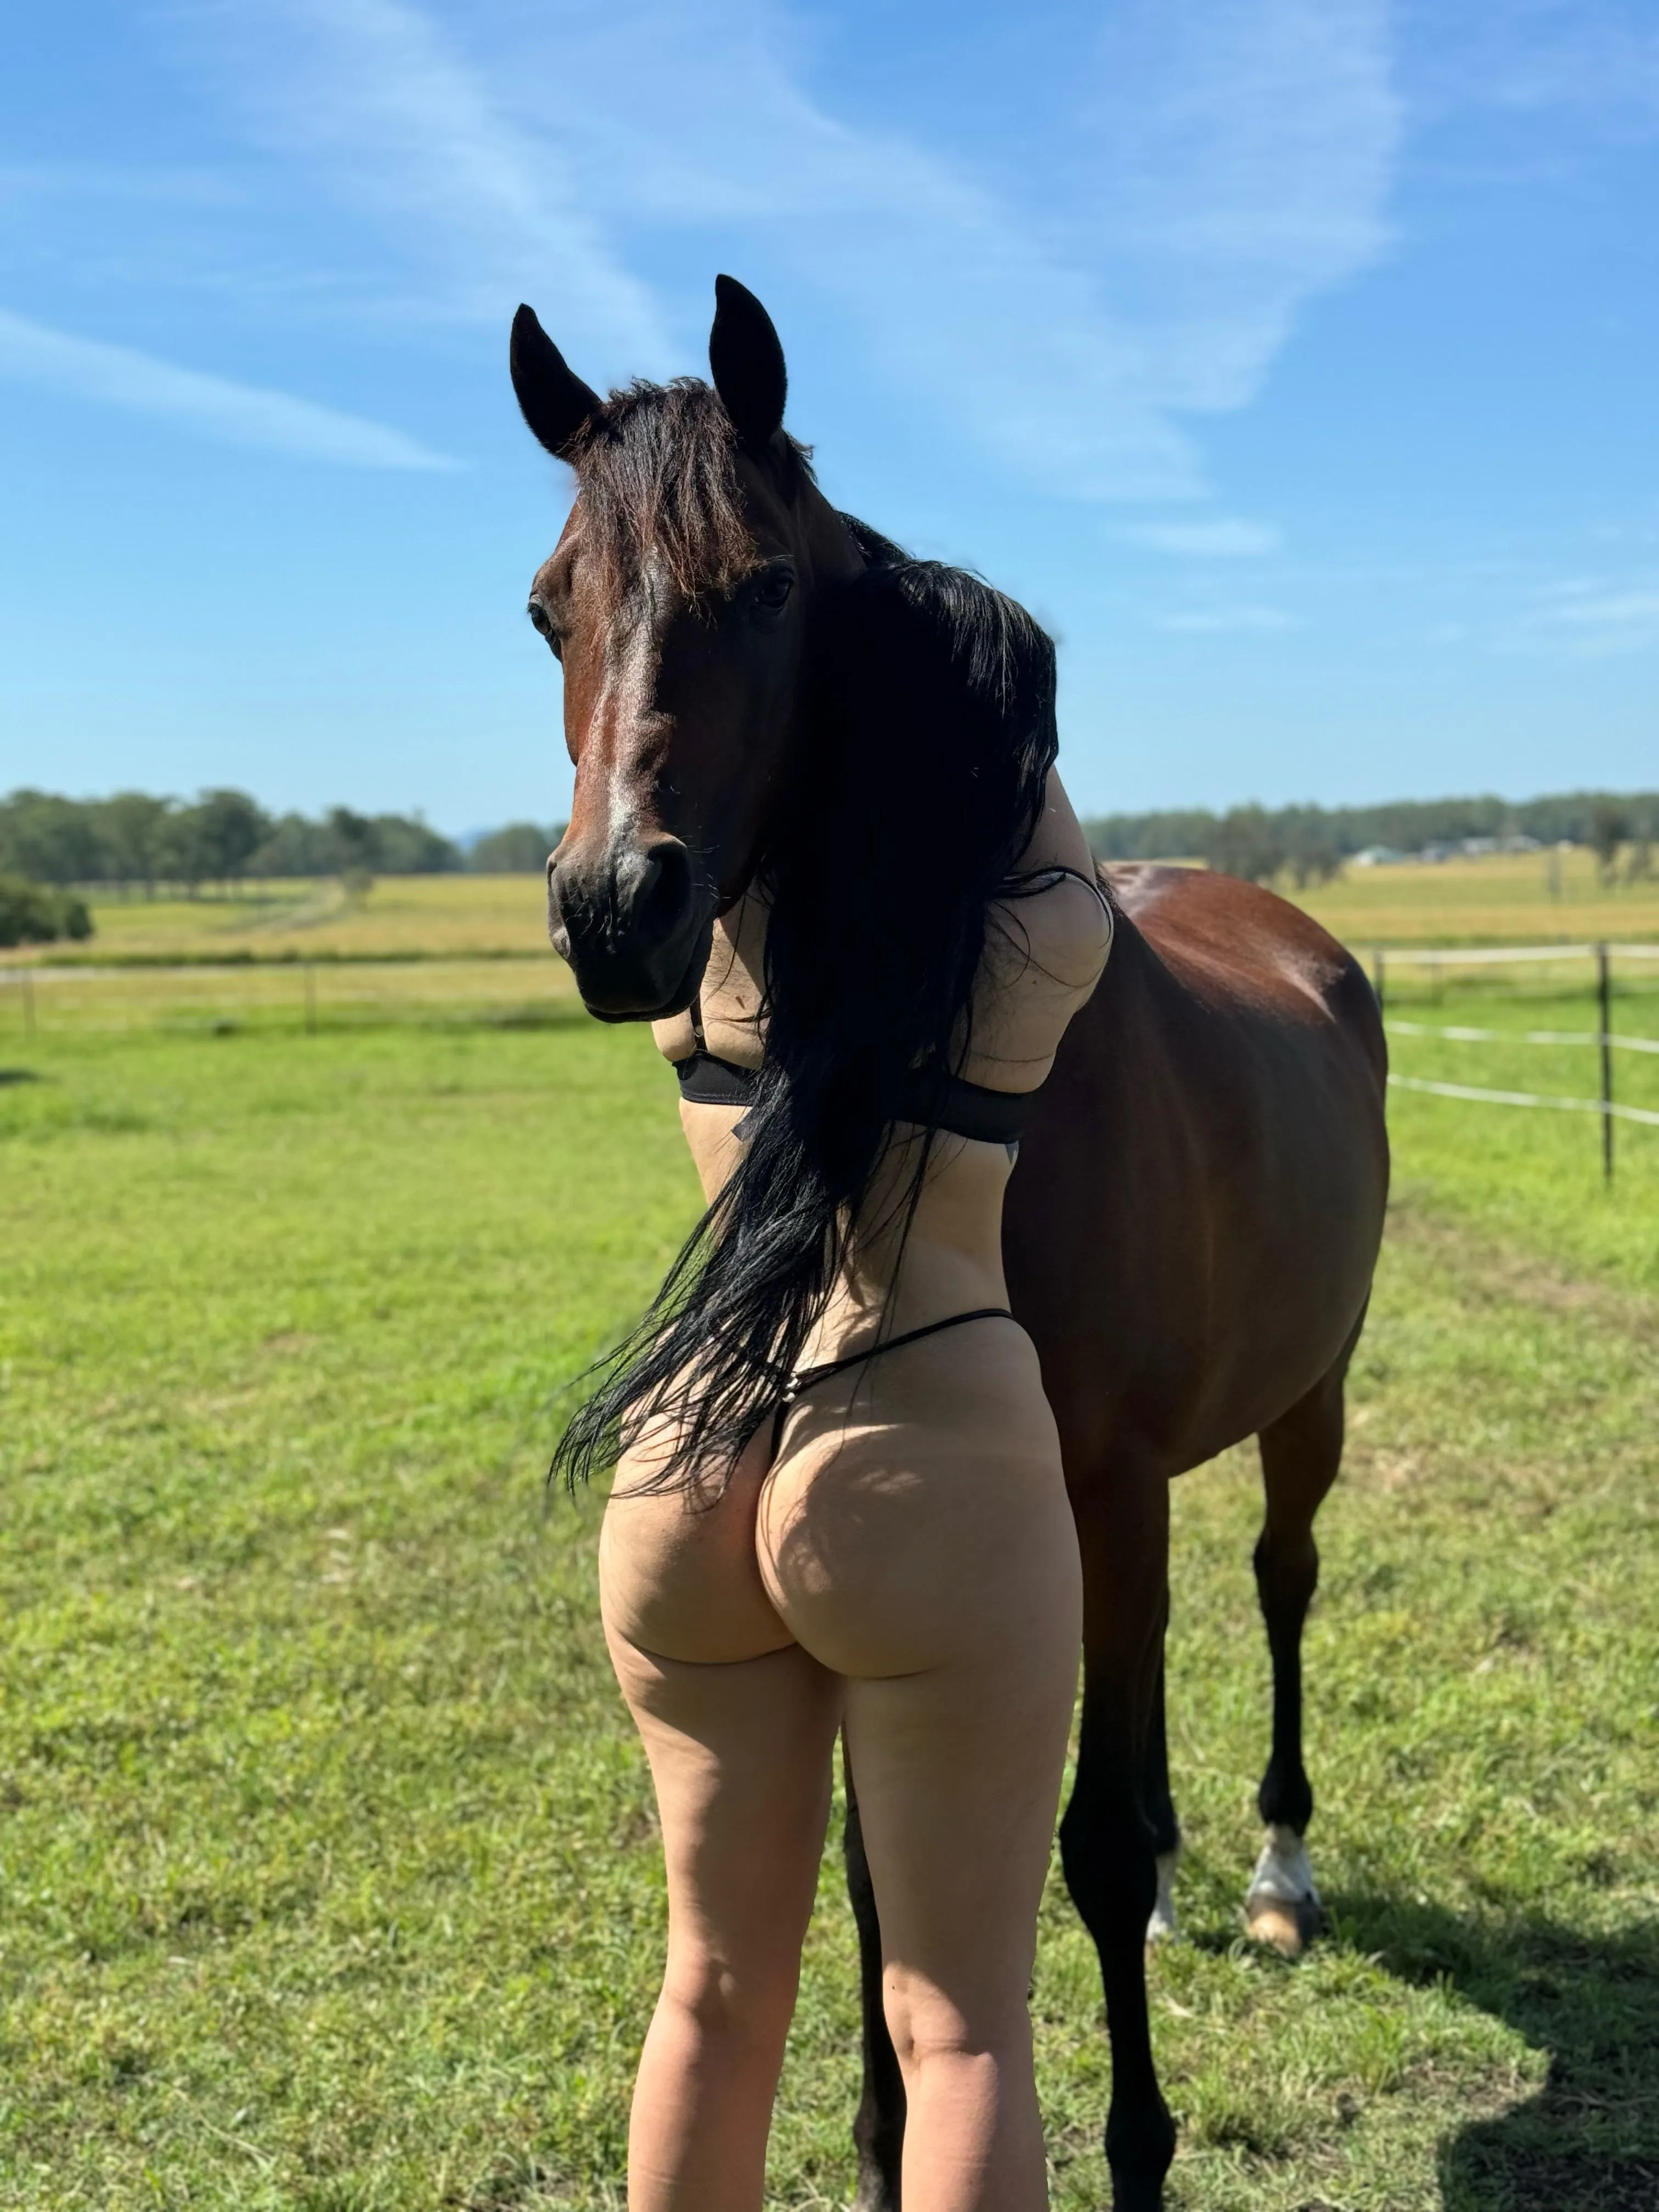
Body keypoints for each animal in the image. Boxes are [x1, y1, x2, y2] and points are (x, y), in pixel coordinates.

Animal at [511, 276, 1389, 2212]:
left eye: (766, 586)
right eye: (547, 606)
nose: (616, 908)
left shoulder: (1108, 1487)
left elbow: (1085, 1846)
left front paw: (1137, 2150)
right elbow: (875, 1871)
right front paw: (876, 2138)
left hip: (1307, 1405)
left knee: (1282, 1584)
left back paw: (1277, 1869)